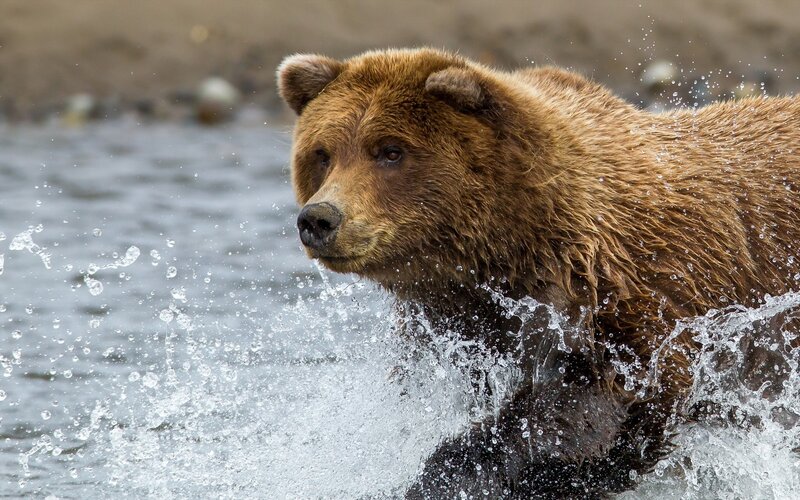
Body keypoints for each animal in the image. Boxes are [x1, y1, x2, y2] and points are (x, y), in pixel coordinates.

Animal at [276, 48, 800, 498]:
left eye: (389, 151)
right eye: (323, 153)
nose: (319, 219)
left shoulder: (641, 291)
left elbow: (606, 400)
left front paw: (448, 475)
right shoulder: (455, 325)